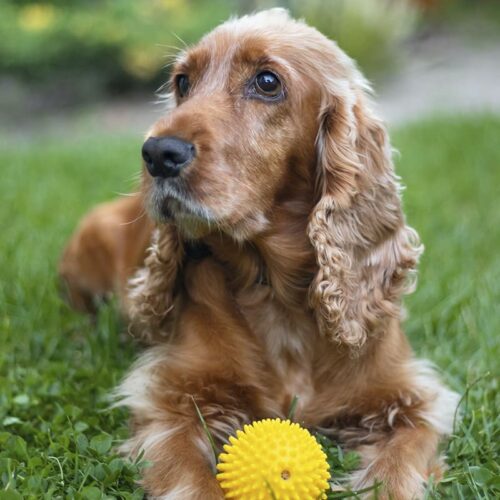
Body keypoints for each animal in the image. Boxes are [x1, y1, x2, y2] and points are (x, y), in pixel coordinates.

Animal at [60, 8, 458, 500]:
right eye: (182, 82)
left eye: (267, 82)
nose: (156, 153)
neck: (275, 291)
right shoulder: (169, 395)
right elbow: (191, 476)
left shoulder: (412, 395)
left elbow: (399, 464)